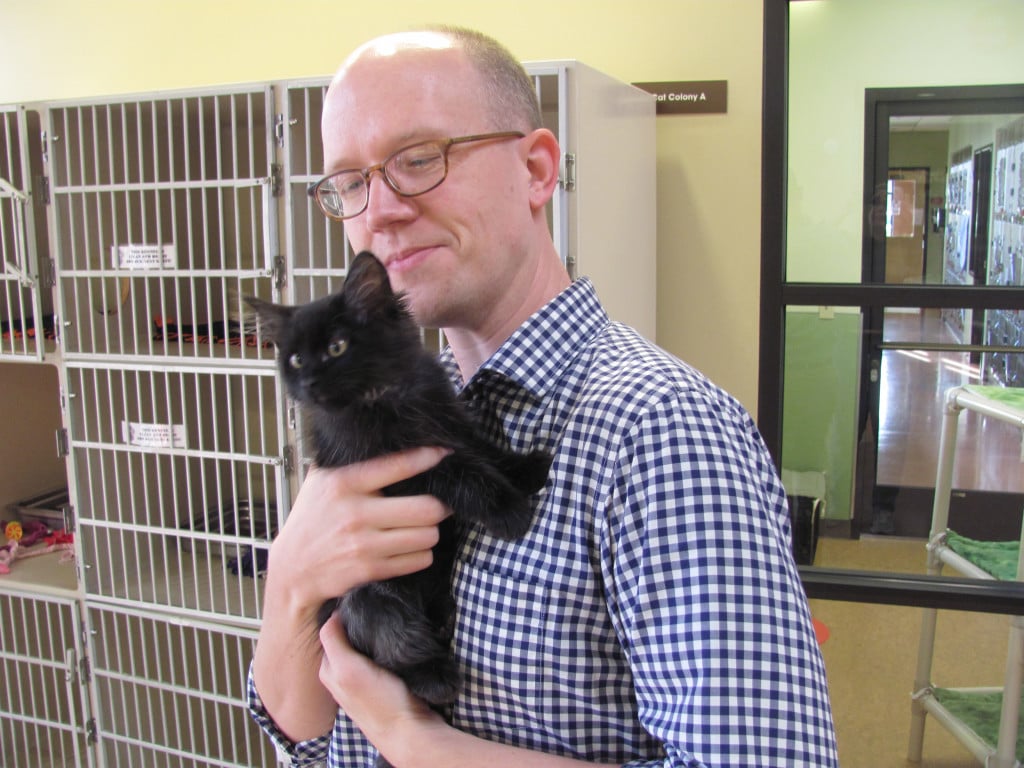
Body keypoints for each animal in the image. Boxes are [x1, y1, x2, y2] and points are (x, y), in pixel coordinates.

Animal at [246, 252, 548, 716]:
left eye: (337, 347)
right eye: (294, 360)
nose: (309, 382)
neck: (388, 394)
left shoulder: (450, 421)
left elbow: (483, 448)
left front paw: (529, 466)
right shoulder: (396, 471)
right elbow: (458, 470)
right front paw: (509, 511)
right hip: (370, 601)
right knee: (394, 648)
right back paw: (435, 678)